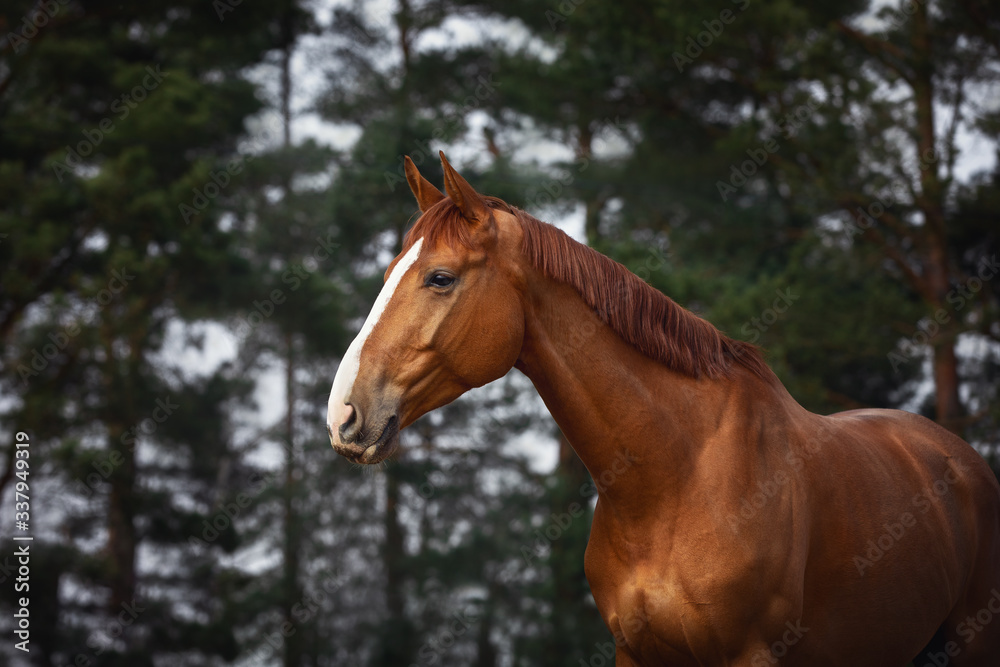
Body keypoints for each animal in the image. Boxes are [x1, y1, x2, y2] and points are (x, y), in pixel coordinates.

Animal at [326, 152, 1000, 666]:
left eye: (439, 277)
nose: (343, 415)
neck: (676, 477)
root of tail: (959, 456)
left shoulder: (750, 655)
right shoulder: (636, 652)